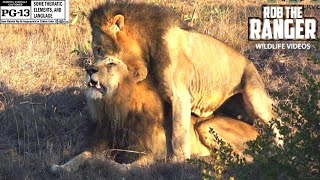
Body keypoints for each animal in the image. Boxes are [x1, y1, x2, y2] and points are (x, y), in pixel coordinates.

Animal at [50, 57, 258, 173]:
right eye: (95, 62)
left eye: (111, 63)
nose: (89, 69)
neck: (115, 107)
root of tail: (257, 131)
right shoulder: (103, 142)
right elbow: (82, 155)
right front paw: (61, 167)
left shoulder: (150, 154)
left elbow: (123, 168)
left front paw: (102, 163)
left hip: (205, 125)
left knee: (246, 158)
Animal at [88, 2, 280, 161]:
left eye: (98, 49)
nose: (90, 69)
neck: (145, 52)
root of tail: (252, 64)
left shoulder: (180, 96)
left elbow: (178, 134)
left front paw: (178, 162)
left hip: (255, 97)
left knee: (275, 121)